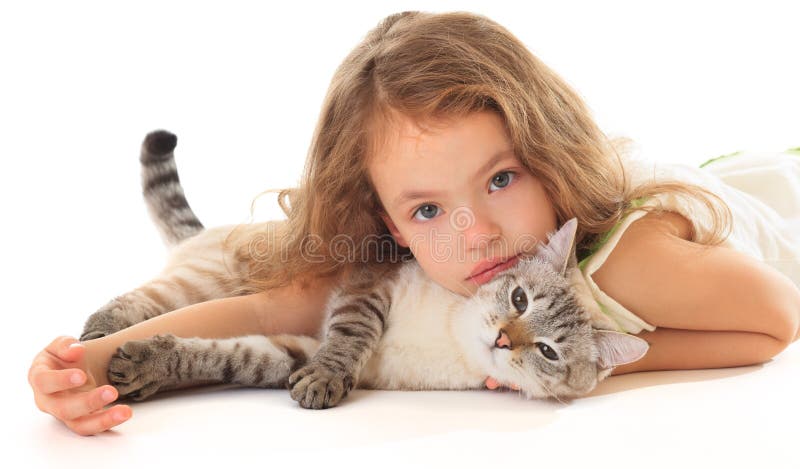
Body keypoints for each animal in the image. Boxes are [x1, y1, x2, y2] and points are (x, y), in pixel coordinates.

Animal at [89, 130, 648, 408]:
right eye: (519, 300)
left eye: (549, 351)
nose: (504, 339)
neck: (452, 333)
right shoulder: (369, 278)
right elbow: (353, 332)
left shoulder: (295, 350)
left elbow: (231, 358)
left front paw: (147, 368)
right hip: (213, 277)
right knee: (146, 298)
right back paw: (100, 329)